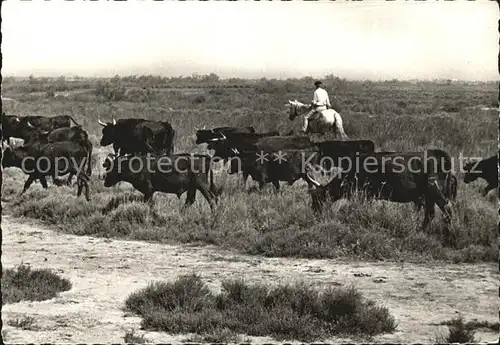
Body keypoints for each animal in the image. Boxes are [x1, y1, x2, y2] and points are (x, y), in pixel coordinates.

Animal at [302, 150, 456, 231]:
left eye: (316, 199)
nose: (313, 212)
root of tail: (435, 152)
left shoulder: (365, 194)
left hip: (434, 191)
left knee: (447, 210)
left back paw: (448, 232)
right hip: (429, 196)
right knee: (430, 213)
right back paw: (421, 230)